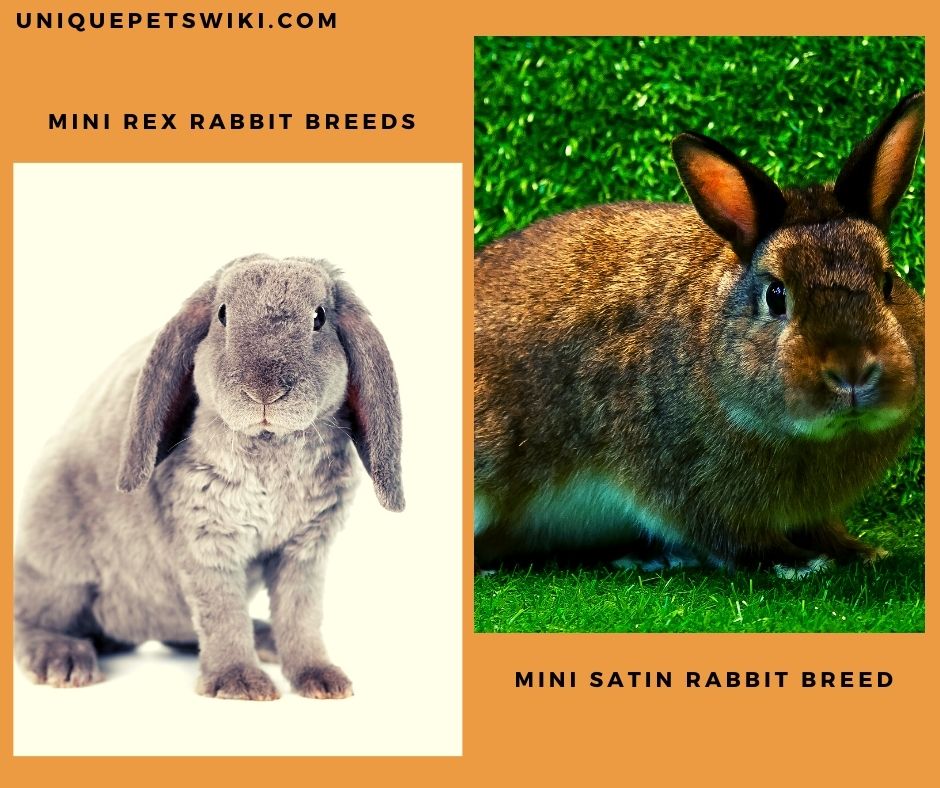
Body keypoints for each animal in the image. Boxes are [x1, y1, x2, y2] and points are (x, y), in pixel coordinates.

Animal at [15, 254, 404, 699]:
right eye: (222, 315)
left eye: (319, 317)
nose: (263, 391)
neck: (270, 446)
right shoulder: (209, 544)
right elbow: (222, 615)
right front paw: (239, 683)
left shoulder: (304, 551)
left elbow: (301, 617)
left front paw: (322, 679)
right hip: (58, 572)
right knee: (29, 620)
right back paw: (61, 661)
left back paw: (264, 638)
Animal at [474, 91, 924, 574]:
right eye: (775, 295)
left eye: (887, 282)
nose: (852, 371)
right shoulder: (686, 486)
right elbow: (734, 540)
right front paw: (799, 563)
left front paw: (858, 551)